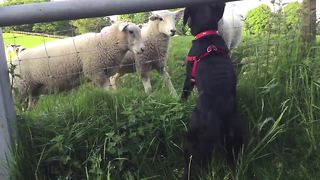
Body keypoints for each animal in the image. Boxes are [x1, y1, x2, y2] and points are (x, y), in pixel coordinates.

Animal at [12, 21, 145, 107]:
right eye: (131, 31)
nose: (143, 49)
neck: (105, 43)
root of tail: (13, 61)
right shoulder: (95, 71)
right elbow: (107, 90)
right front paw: (112, 100)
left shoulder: (101, 73)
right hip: (21, 89)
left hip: (33, 90)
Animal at [181, 2, 244, 179]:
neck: (207, 34)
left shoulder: (189, 78)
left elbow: (184, 93)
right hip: (234, 143)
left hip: (192, 139)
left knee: (190, 163)